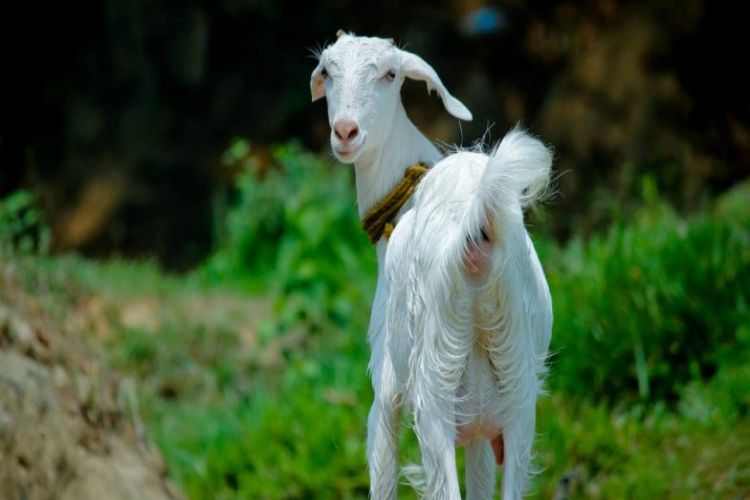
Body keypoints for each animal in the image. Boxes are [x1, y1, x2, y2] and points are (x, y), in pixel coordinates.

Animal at [310, 32, 553, 500]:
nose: (345, 131)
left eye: (390, 74)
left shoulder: (385, 388)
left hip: (432, 385)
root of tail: (477, 231)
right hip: (517, 393)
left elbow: (382, 475)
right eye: (327, 71)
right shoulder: (480, 431)